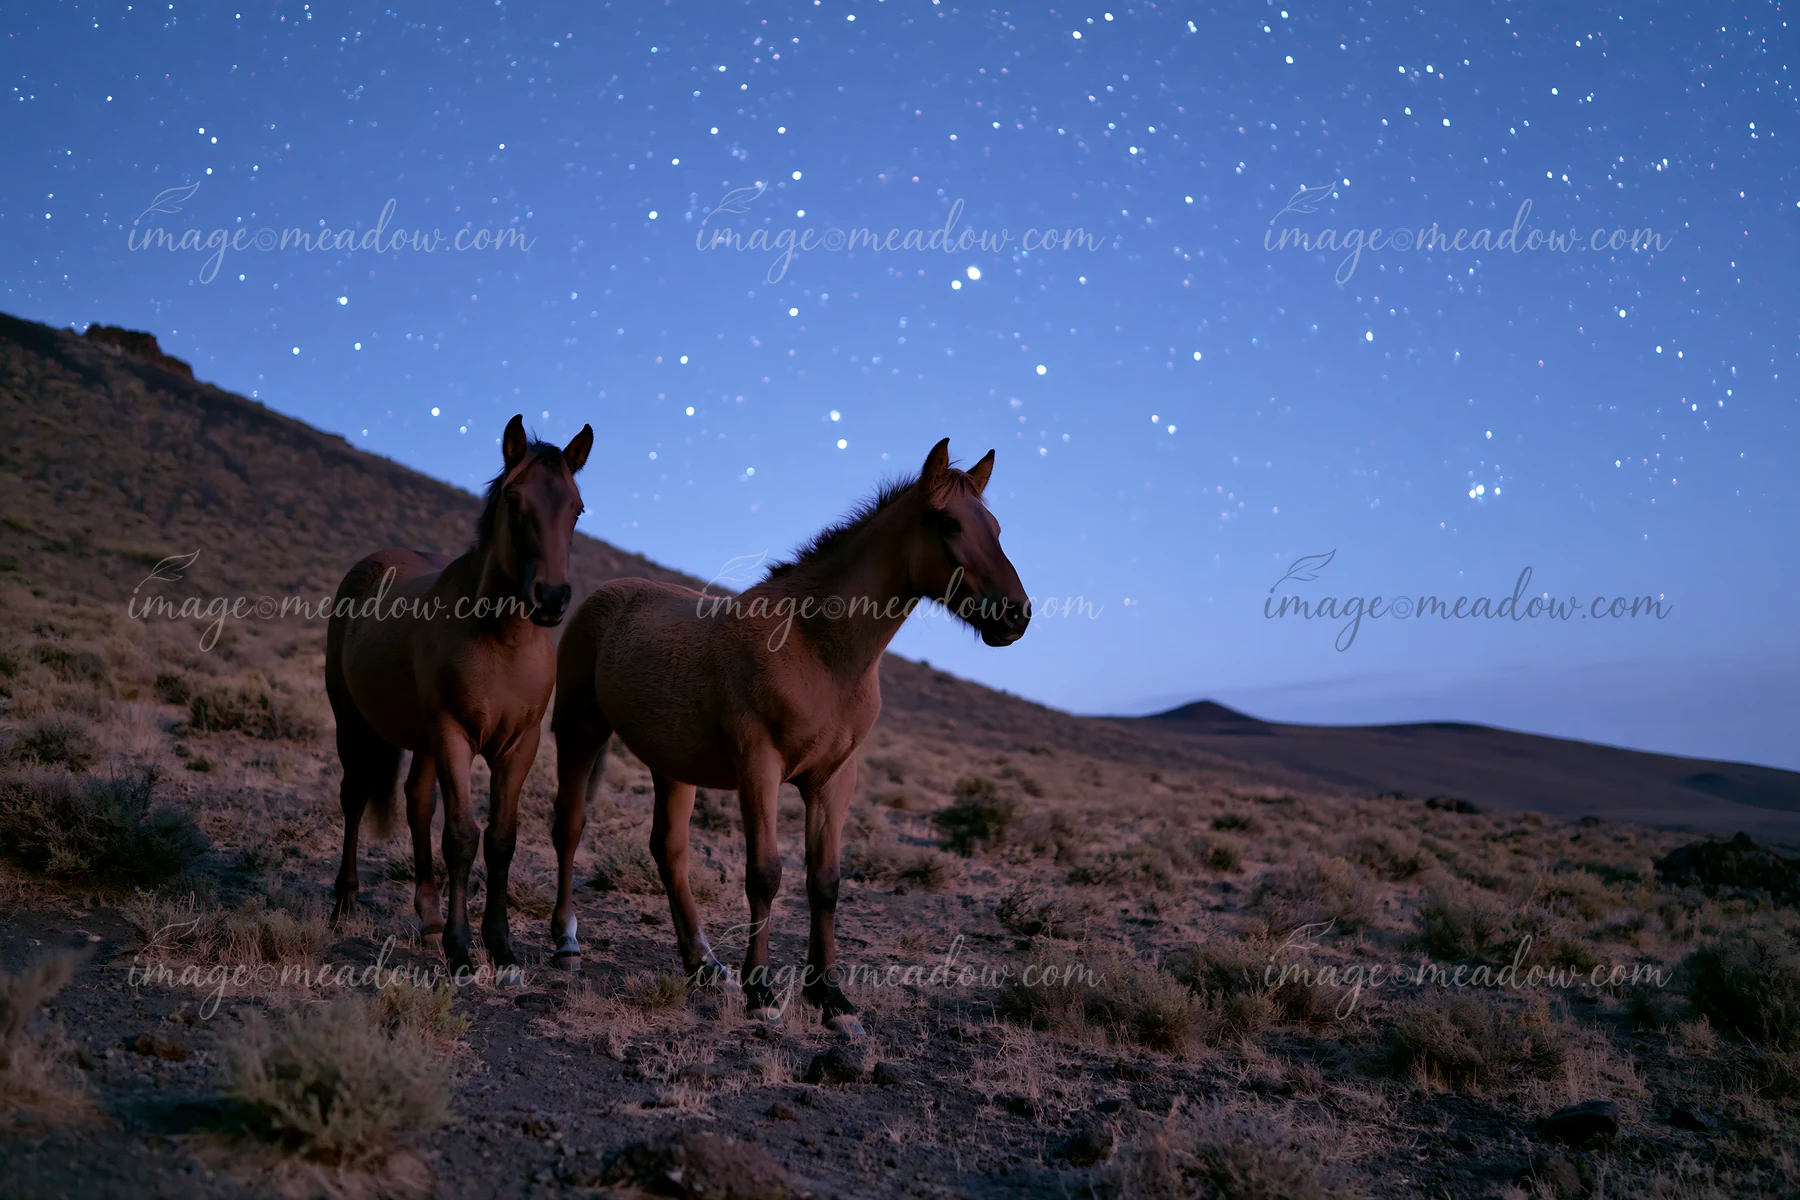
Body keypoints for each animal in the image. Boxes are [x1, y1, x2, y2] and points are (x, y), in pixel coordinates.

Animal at [324, 414, 593, 977]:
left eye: (577, 508)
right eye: (514, 499)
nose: (551, 598)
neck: (502, 640)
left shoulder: (519, 746)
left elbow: (501, 839)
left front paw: (502, 947)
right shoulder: (454, 736)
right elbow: (463, 837)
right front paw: (462, 949)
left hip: (422, 741)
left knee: (416, 803)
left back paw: (427, 917)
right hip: (351, 718)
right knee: (355, 795)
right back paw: (345, 900)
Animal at [548, 438, 1029, 1033]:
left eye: (997, 527)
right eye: (946, 522)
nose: (1016, 615)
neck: (814, 646)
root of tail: (602, 597)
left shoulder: (833, 781)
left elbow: (824, 881)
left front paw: (831, 999)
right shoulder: (760, 767)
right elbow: (765, 874)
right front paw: (761, 993)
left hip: (672, 768)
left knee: (669, 850)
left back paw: (703, 965)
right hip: (579, 734)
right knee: (569, 827)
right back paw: (567, 943)